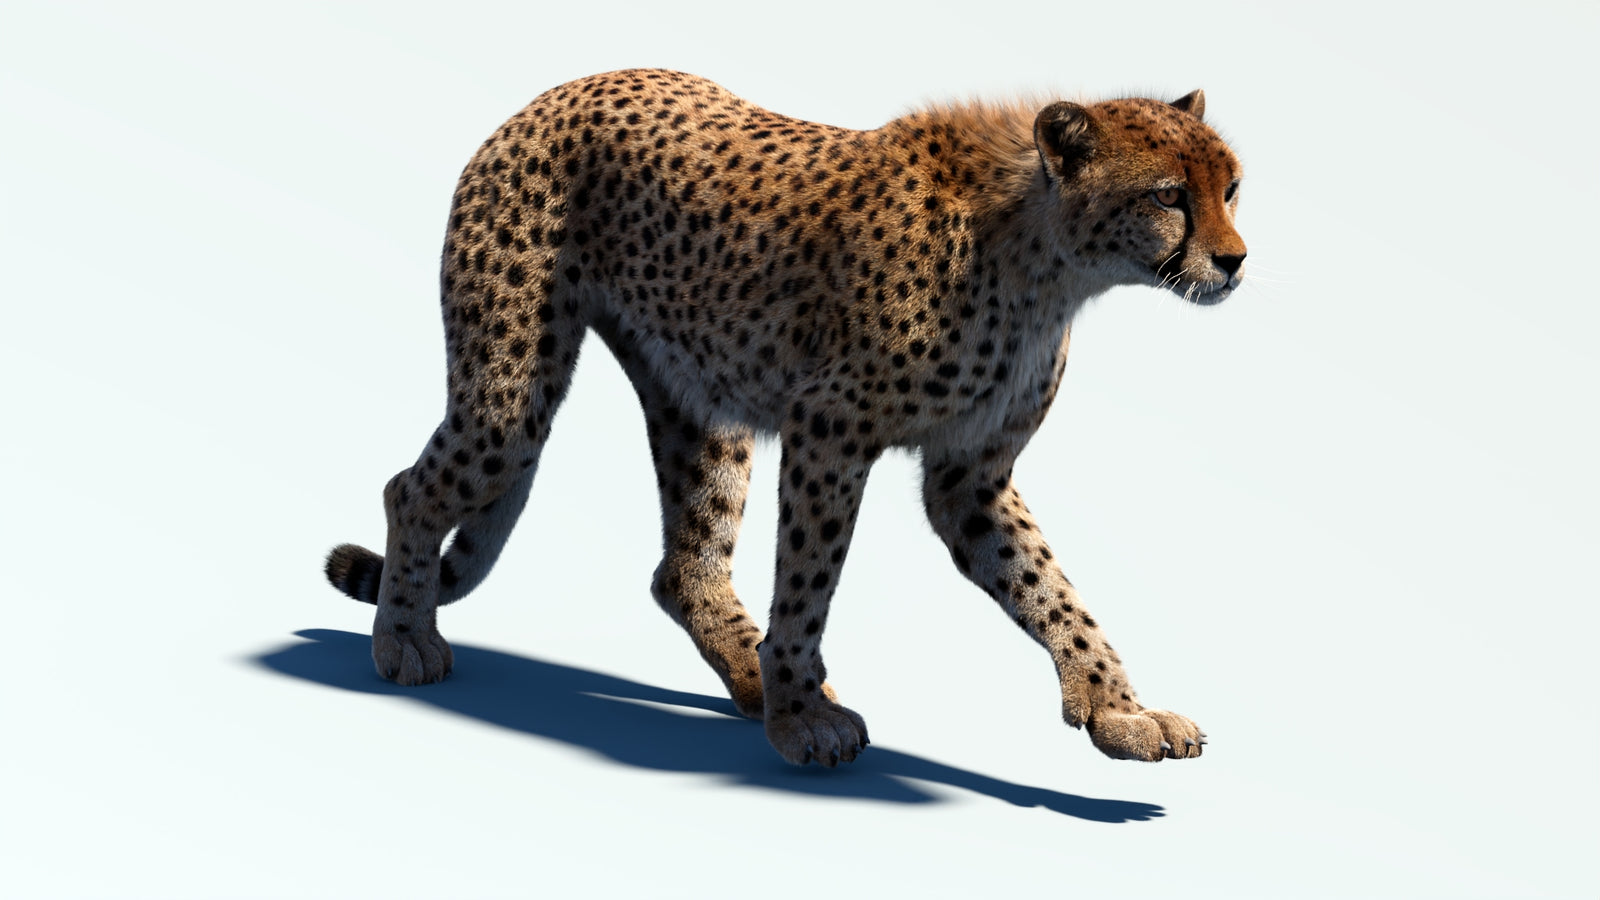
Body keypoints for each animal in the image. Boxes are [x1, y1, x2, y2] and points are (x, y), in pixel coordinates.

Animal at [324, 68, 1246, 767]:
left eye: (1232, 188)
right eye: (1169, 195)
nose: (1235, 260)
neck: (1046, 261)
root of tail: (557, 92)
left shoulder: (969, 477)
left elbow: (1051, 588)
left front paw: (1118, 707)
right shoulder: (830, 432)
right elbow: (808, 582)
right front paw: (803, 716)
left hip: (699, 398)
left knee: (684, 565)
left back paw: (750, 675)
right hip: (510, 394)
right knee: (410, 487)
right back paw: (402, 638)